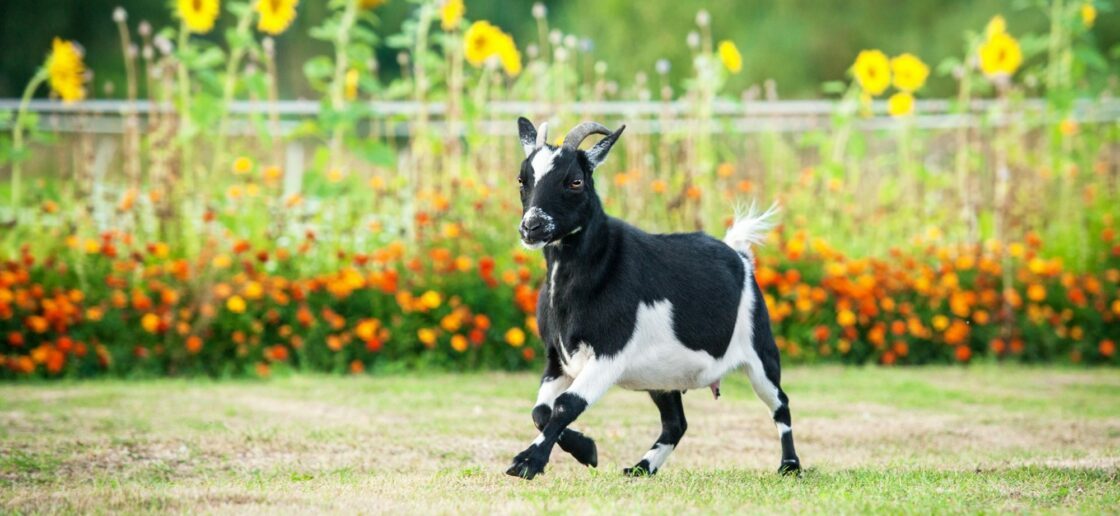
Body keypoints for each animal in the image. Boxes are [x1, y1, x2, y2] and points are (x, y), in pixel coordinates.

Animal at [504, 116, 801, 479]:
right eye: (522, 179)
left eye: (575, 181)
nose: (531, 227)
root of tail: (740, 255)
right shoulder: (555, 357)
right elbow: (540, 411)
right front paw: (587, 450)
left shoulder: (610, 352)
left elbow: (566, 405)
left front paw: (527, 462)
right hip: (663, 379)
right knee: (676, 423)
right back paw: (642, 467)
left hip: (761, 352)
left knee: (780, 403)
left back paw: (790, 465)